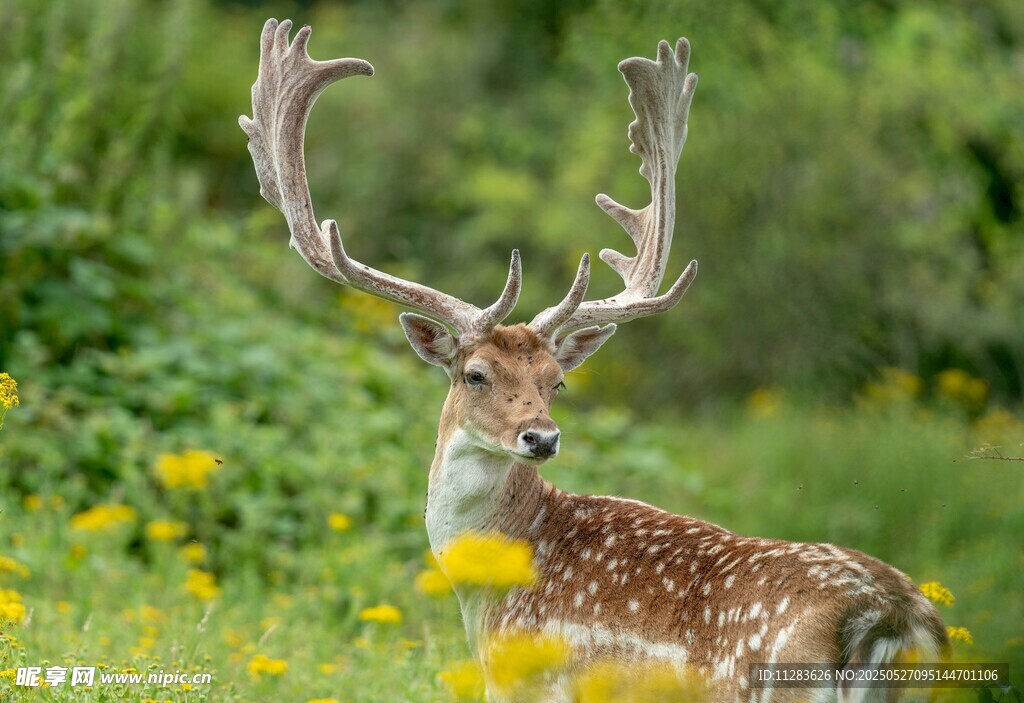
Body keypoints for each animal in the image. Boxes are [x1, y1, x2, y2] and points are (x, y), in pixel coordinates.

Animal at [240, 18, 949, 703]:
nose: (541, 436)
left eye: (556, 382)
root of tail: (891, 620)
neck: (488, 591)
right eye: (476, 374)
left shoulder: (524, 681)